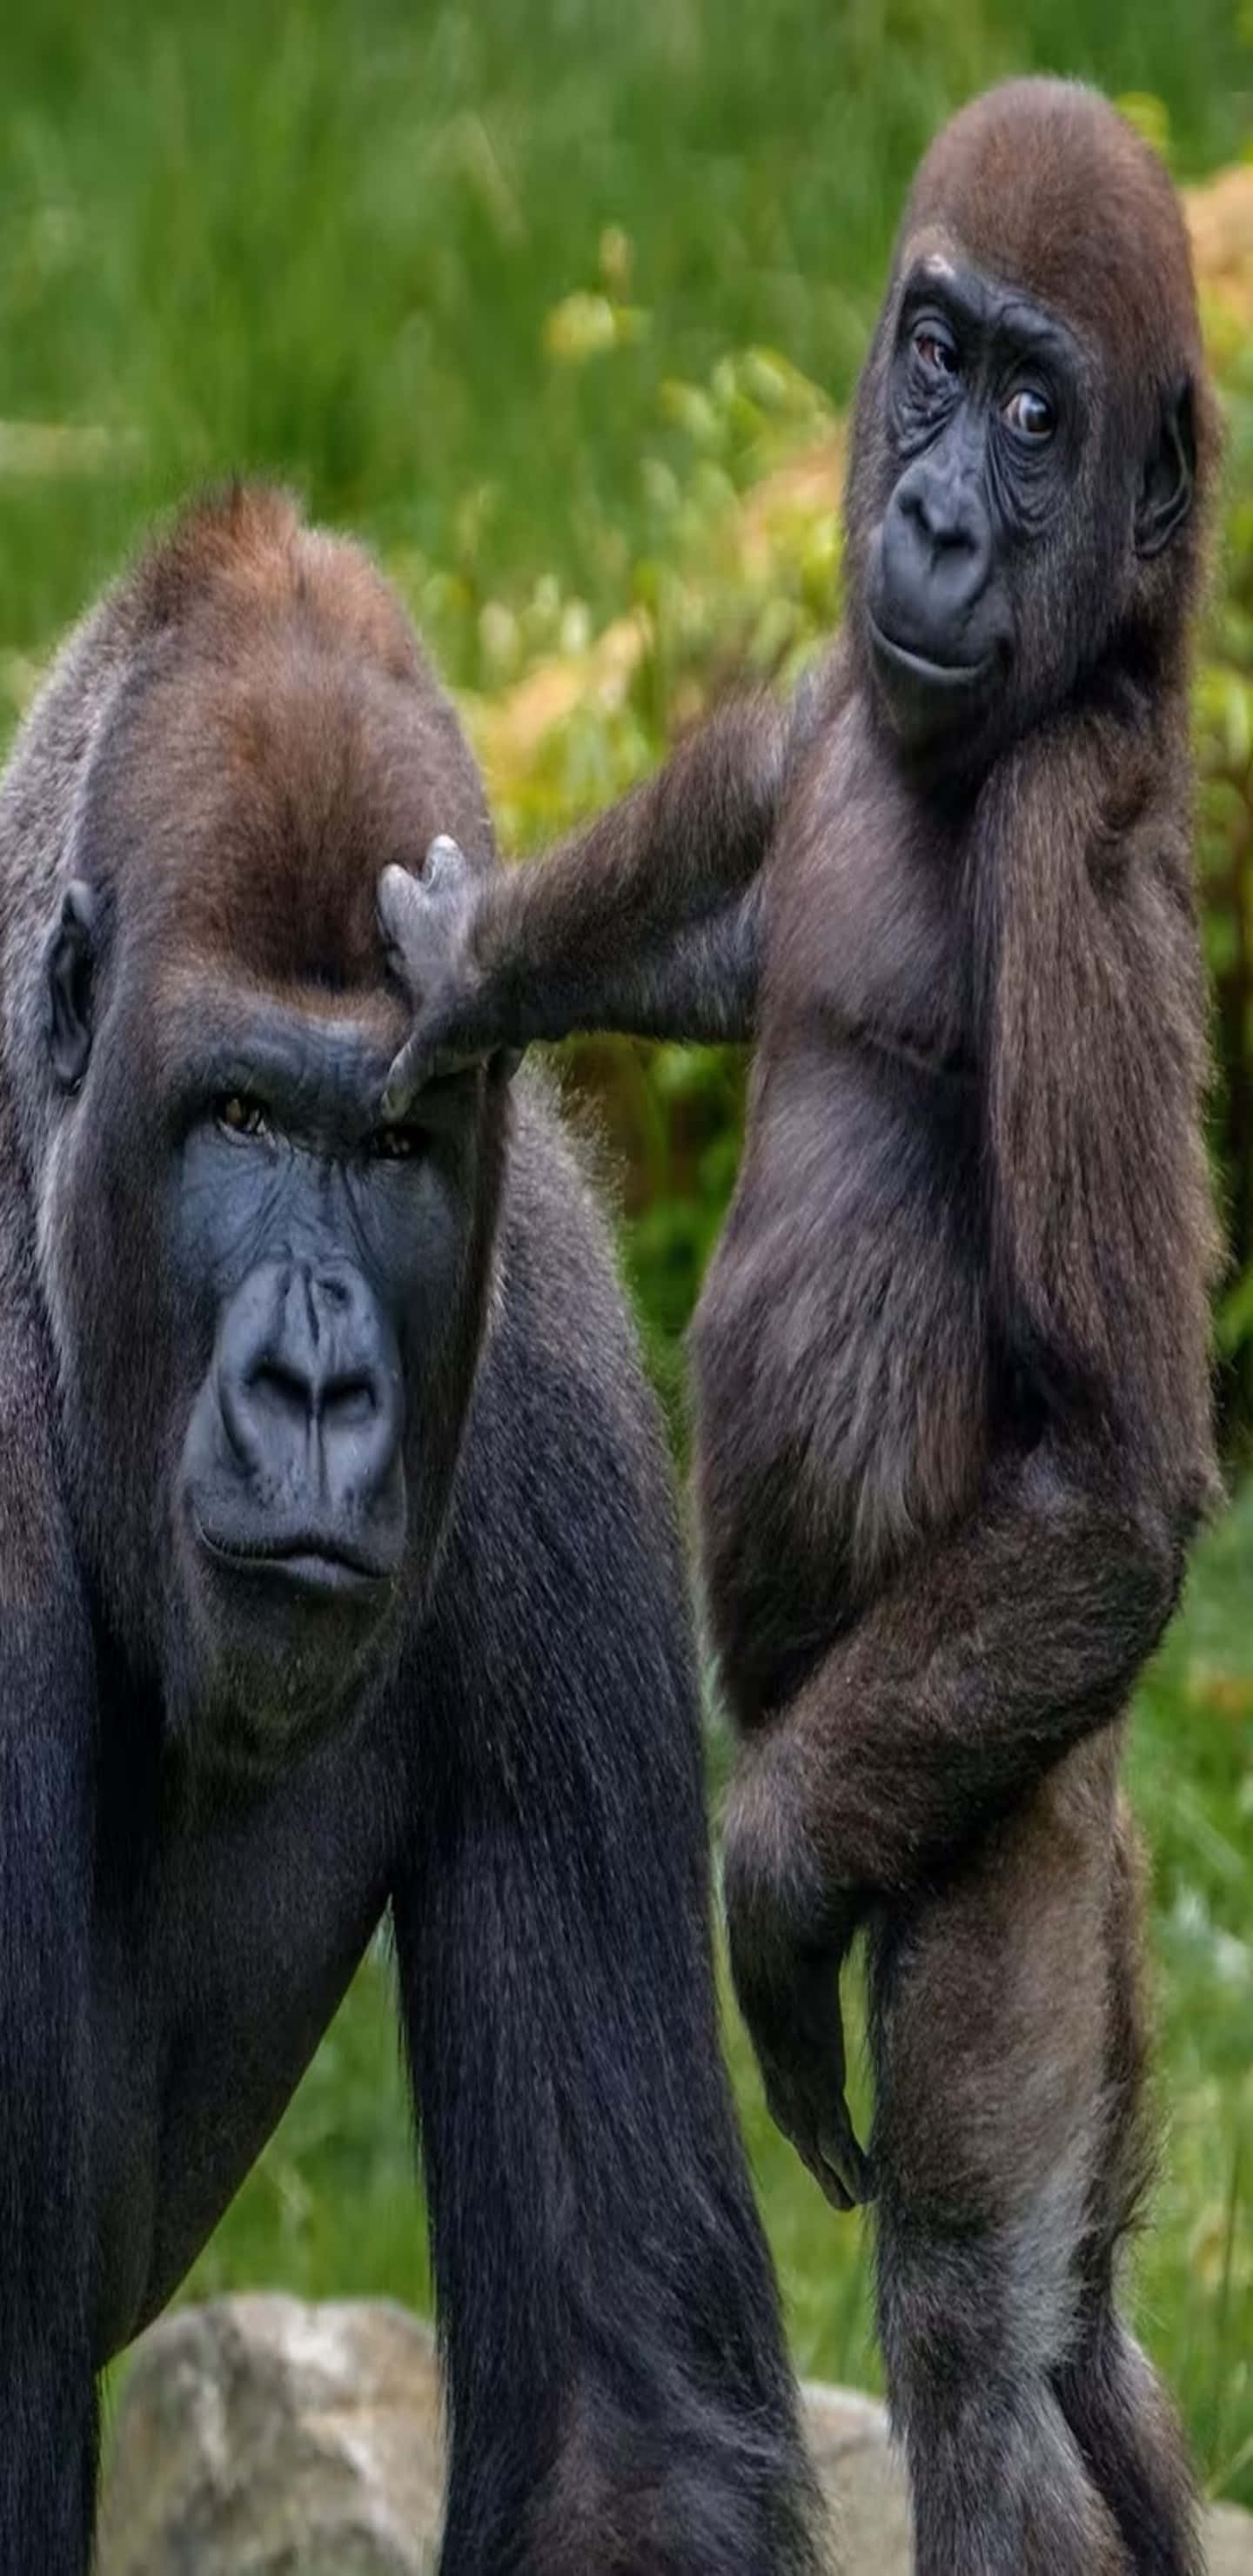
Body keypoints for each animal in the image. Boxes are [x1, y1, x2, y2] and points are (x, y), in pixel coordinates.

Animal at [377, 79, 1220, 2576]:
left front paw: (756, 1879)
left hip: (1006, 1848)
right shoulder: (847, 702)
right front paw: (470, 966)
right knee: (1086, 2326)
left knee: (977, 2331)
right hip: (1101, 1897)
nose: (936, 514)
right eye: (934, 356)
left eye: (1041, 417)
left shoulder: (1075, 843)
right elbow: (721, 887)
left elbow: (1113, 1483)